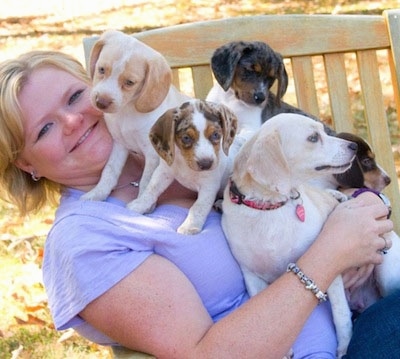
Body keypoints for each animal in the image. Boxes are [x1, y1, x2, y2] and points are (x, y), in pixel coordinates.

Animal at [81, 29, 191, 204]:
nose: (101, 102)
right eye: (101, 69)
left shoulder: (152, 154)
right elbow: (109, 172)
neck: (127, 112)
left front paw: (142, 203)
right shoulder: (119, 145)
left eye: (130, 82)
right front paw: (97, 193)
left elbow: (146, 182)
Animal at [128, 100, 238, 236]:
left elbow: (198, 207)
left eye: (216, 135)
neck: (186, 164)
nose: (206, 164)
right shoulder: (163, 172)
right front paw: (138, 206)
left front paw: (190, 226)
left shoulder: (209, 186)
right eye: (186, 138)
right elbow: (150, 191)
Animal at [222, 114, 360, 358]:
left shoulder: (330, 269)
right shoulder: (251, 276)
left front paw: (345, 346)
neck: (271, 210)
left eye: (322, 131)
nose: (354, 146)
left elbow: (341, 314)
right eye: (313, 137)